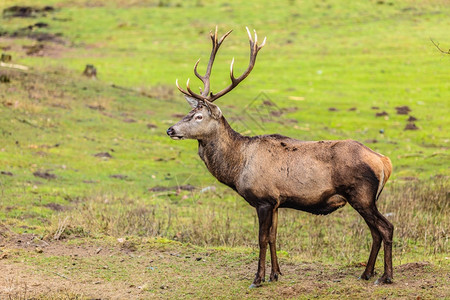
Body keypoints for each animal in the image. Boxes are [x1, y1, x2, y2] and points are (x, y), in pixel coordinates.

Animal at [166, 27, 394, 288]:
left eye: (199, 116)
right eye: (189, 111)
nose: (170, 130)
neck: (237, 167)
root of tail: (384, 161)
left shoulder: (263, 199)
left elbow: (262, 239)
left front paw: (258, 278)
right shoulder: (276, 202)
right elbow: (274, 237)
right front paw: (275, 274)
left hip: (362, 195)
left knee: (386, 228)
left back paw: (385, 276)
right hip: (365, 198)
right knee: (376, 232)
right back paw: (367, 273)